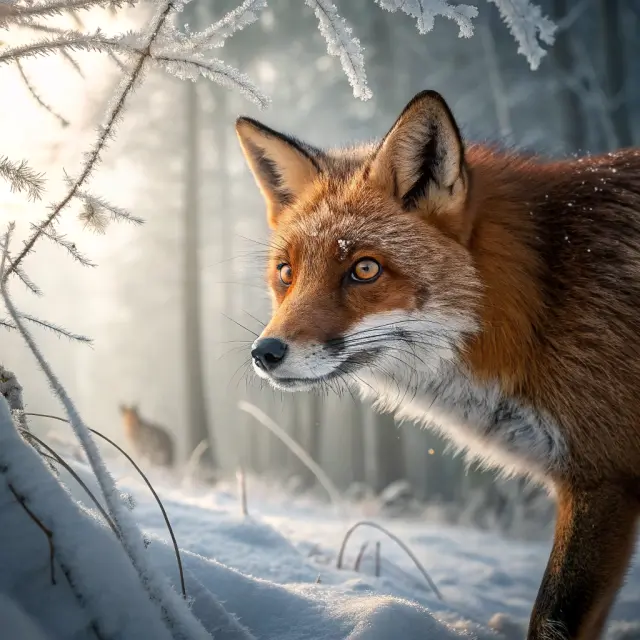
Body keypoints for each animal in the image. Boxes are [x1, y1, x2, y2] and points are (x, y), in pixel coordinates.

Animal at [235, 89, 640, 639]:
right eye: (286, 272)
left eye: (365, 269)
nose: (266, 353)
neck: (542, 299)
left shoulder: (602, 478)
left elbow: (552, 618)